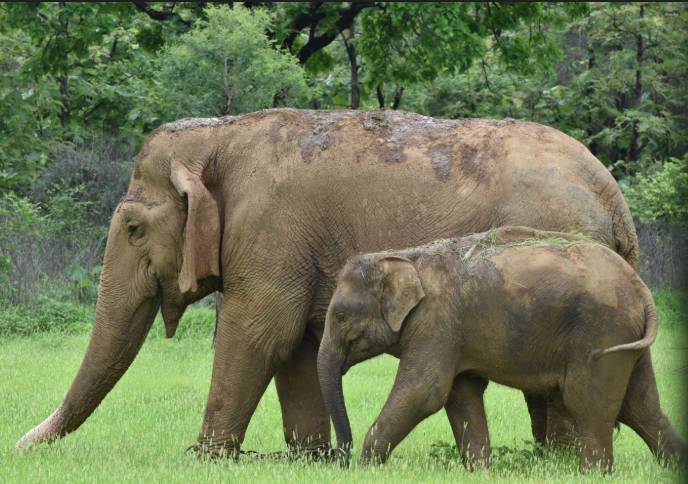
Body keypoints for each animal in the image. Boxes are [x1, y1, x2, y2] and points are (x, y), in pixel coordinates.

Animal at [16, 109, 640, 458]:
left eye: (134, 229)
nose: (20, 447)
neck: (219, 135)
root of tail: (615, 199)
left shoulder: (271, 230)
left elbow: (257, 333)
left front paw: (202, 458)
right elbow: (295, 346)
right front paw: (309, 457)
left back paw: (559, 464)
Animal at [317, 226, 686, 472]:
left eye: (340, 316)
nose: (338, 459)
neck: (405, 256)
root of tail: (642, 290)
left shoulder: (437, 322)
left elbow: (425, 391)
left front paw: (366, 467)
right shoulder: (453, 332)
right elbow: (460, 393)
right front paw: (479, 469)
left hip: (600, 333)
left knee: (588, 404)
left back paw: (593, 474)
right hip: (623, 338)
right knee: (641, 406)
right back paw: (673, 466)